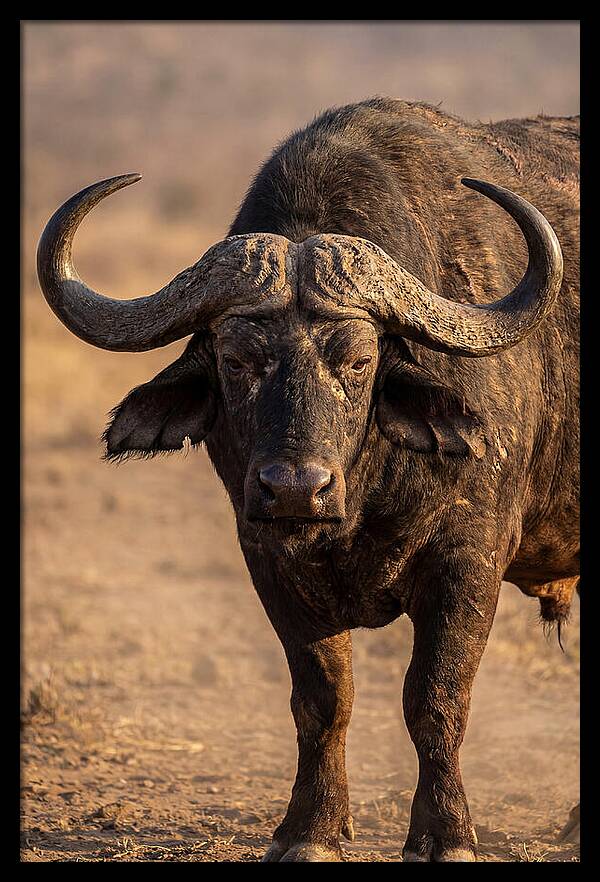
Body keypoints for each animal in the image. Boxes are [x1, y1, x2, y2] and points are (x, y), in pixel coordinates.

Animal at [37, 98, 579, 862]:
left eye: (358, 360)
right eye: (236, 359)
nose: (295, 487)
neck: (362, 498)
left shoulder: (468, 560)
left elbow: (436, 698)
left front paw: (445, 834)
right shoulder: (267, 559)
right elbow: (323, 701)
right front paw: (312, 831)